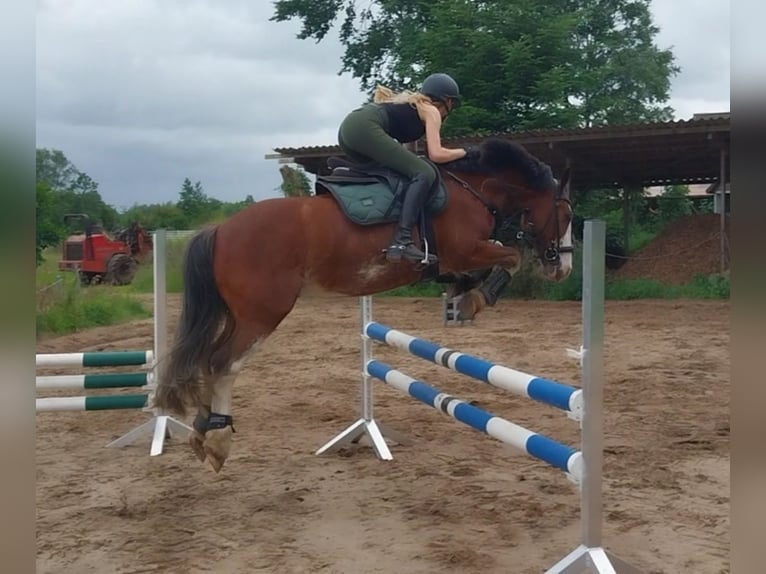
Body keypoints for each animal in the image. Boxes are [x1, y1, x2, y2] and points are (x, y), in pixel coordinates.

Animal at [152, 137, 574, 472]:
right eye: (566, 214)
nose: (563, 268)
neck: (473, 189)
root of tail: (221, 229)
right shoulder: (465, 249)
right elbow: (511, 258)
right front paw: (476, 299)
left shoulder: (459, 257)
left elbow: (486, 264)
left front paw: (463, 295)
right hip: (262, 314)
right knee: (223, 363)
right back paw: (218, 438)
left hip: (237, 314)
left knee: (207, 359)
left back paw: (203, 430)